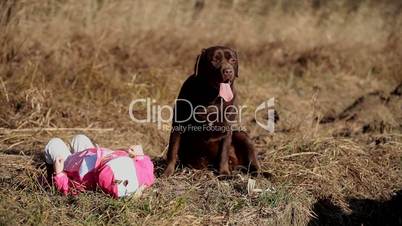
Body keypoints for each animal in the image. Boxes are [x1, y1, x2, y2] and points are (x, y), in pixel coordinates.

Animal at [163, 46, 260, 177]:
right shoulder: (178, 125)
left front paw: (224, 173)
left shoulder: (226, 129)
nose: (228, 71)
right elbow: (172, 150)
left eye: (233, 60)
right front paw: (167, 173)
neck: (212, 97)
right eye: (215, 60)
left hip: (242, 136)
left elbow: (223, 153)